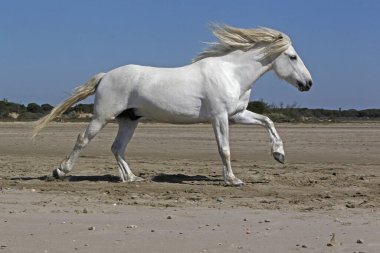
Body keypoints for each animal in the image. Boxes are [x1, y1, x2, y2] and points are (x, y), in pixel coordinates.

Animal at [33, 25, 312, 186]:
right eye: (292, 57)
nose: (308, 83)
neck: (231, 73)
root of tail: (106, 76)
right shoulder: (220, 117)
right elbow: (224, 149)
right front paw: (233, 180)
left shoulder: (237, 115)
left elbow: (268, 121)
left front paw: (279, 155)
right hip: (103, 116)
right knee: (83, 140)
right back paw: (60, 171)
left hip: (129, 120)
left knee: (117, 148)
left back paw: (131, 178)